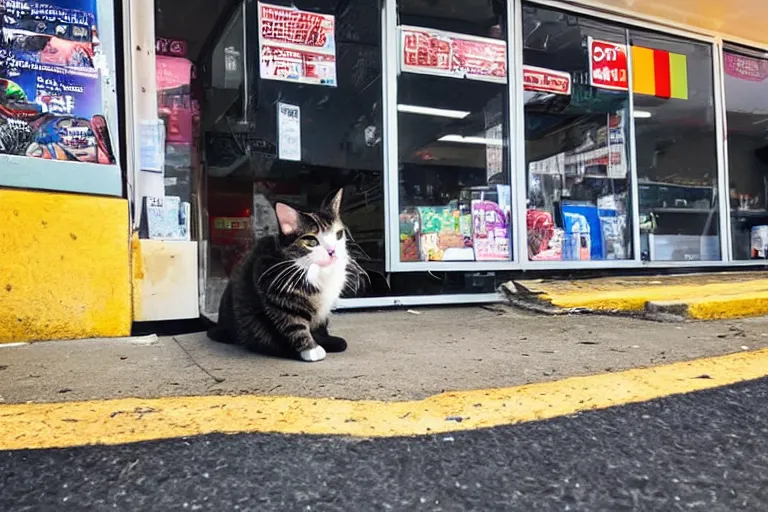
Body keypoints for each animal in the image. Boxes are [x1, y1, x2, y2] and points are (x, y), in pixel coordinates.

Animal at [206, 190, 358, 362]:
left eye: (338, 234)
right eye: (311, 241)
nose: (332, 251)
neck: (319, 271)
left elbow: (321, 324)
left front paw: (327, 340)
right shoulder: (275, 289)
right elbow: (292, 323)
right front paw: (311, 349)